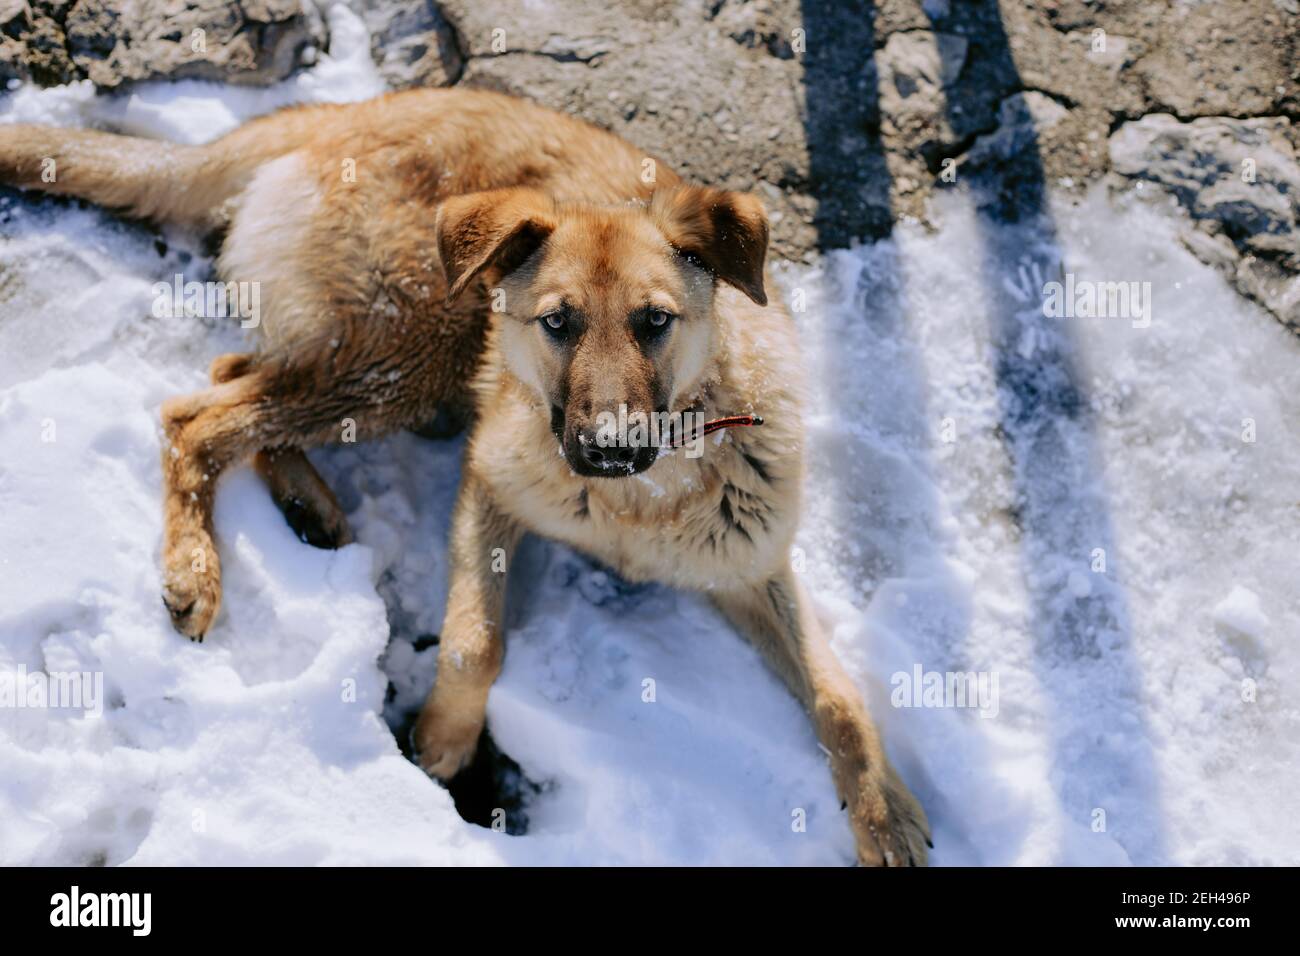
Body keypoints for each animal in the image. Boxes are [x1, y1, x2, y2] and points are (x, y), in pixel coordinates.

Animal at [2, 89, 935, 868]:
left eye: (654, 321)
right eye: (557, 322)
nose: (606, 447)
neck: (633, 503)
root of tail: (341, 113)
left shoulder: (751, 564)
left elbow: (840, 701)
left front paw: (882, 813)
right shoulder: (489, 485)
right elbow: (472, 642)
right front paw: (445, 746)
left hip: (383, 363)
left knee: (233, 379)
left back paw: (308, 503)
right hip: (405, 350)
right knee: (195, 419)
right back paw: (198, 566)